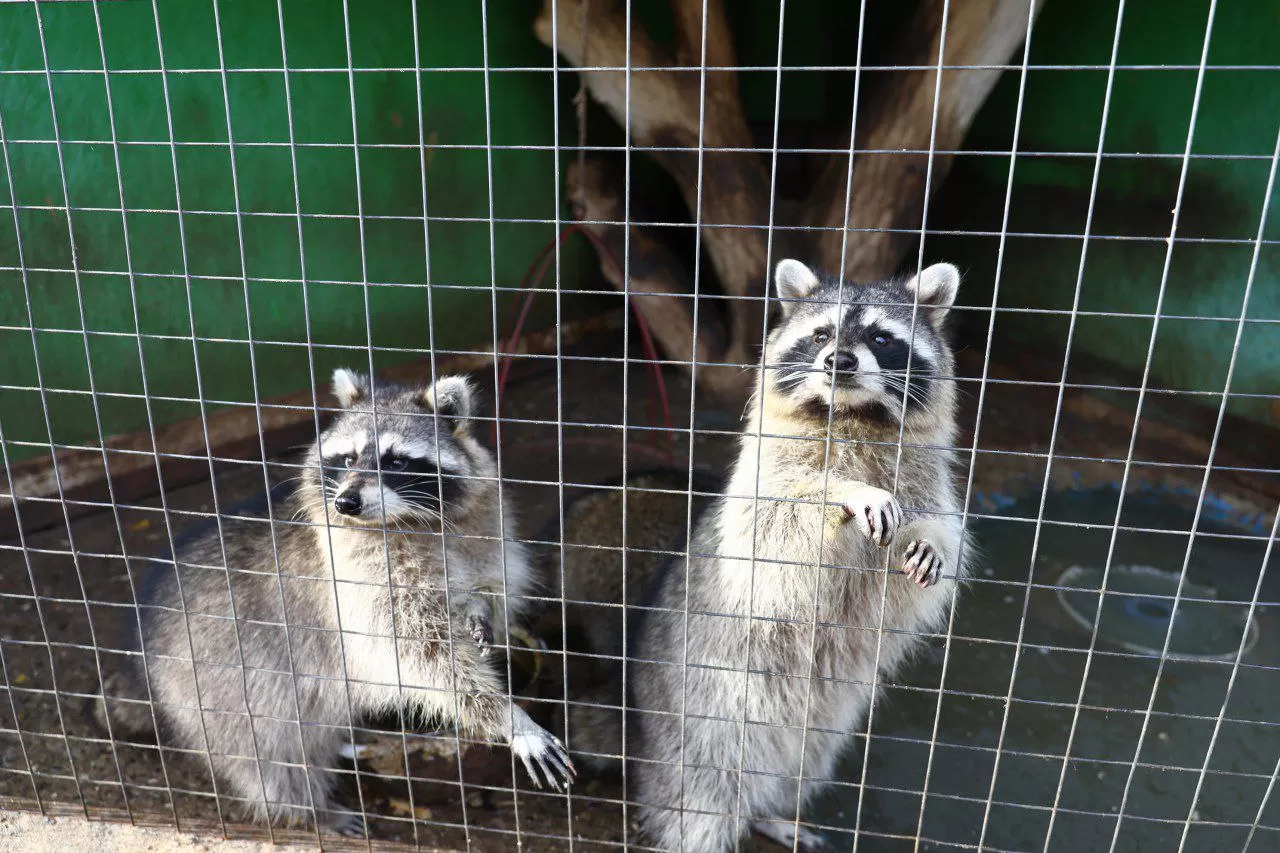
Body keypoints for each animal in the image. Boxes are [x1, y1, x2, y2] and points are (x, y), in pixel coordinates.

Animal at [102, 371, 573, 829]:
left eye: (396, 461)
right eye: (347, 459)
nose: (347, 501)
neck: (413, 520)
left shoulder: (481, 527)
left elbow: (492, 579)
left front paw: (478, 606)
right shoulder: (356, 577)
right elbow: (418, 651)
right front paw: (508, 717)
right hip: (216, 683)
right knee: (266, 757)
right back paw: (307, 810)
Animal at [565, 261, 962, 850]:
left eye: (880, 338)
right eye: (820, 335)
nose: (839, 361)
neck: (852, 415)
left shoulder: (921, 474)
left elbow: (933, 540)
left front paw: (928, 543)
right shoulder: (763, 477)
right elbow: (773, 529)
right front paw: (844, 491)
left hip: (819, 727)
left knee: (800, 762)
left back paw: (771, 813)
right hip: (702, 708)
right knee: (701, 787)